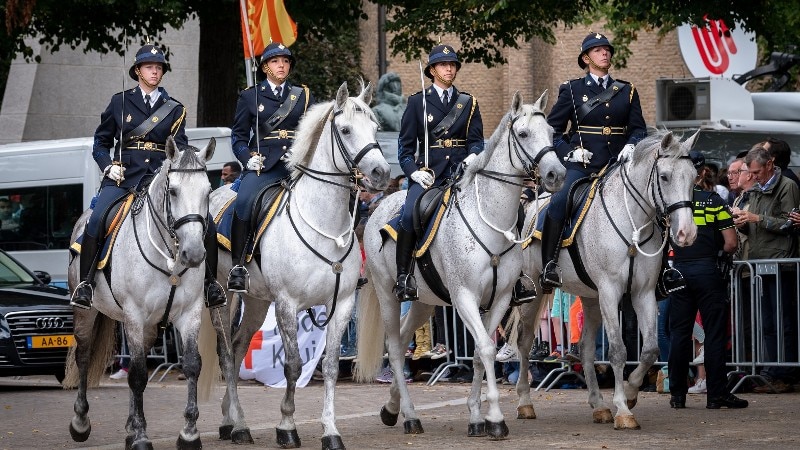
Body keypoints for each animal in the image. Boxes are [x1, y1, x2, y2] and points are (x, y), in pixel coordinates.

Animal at [64, 139, 217, 448]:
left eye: (208, 191)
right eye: (173, 191)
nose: (194, 254)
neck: (169, 256)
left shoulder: (190, 313)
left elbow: (191, 364)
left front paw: (189, 433)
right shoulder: (134, 315)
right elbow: (135, 375)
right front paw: (142, 436)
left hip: (149, 326)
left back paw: (129, 427)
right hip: (88, 311)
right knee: (84, 356)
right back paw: (81, 422)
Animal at [205, 81, 392, 450]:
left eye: (376, 127)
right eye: (345, 130)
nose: (381, 174)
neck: (325, 223)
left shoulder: (341, 304)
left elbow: (331, 366)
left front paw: (330, 431)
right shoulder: (287, 304)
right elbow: (292, 364)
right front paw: (286, 426)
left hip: (257, 301)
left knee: (238, 345)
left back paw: (230, 420)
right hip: (224, 296)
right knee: (226, 353)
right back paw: (240, 425)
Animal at [356, 91, 568, 440]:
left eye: (552, 133)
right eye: (523, 134)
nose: (557, 175)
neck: (492, 221)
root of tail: (379, 208)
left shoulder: (500, 298)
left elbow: (483, 353)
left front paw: (477, 417)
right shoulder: (465, 296)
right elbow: (485, 348)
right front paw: (495, 417)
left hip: (424, 303)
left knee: (403, 334)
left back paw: (391, 407)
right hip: (389, 294)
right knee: (395, 346)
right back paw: (410, 416)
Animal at [512, 130, 700, 428]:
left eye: (694, 177)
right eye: (665, 176)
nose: (686, 233)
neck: (633, 223)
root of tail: (531, 206)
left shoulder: (643, 293)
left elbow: (649, 350)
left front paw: (631, 393)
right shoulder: (611, 291)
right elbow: (618, 351)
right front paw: (623, 409)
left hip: (590, 297)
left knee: (586, 348)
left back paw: (598, 405)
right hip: (536, 290)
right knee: (525, 340)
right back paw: (525, 402)